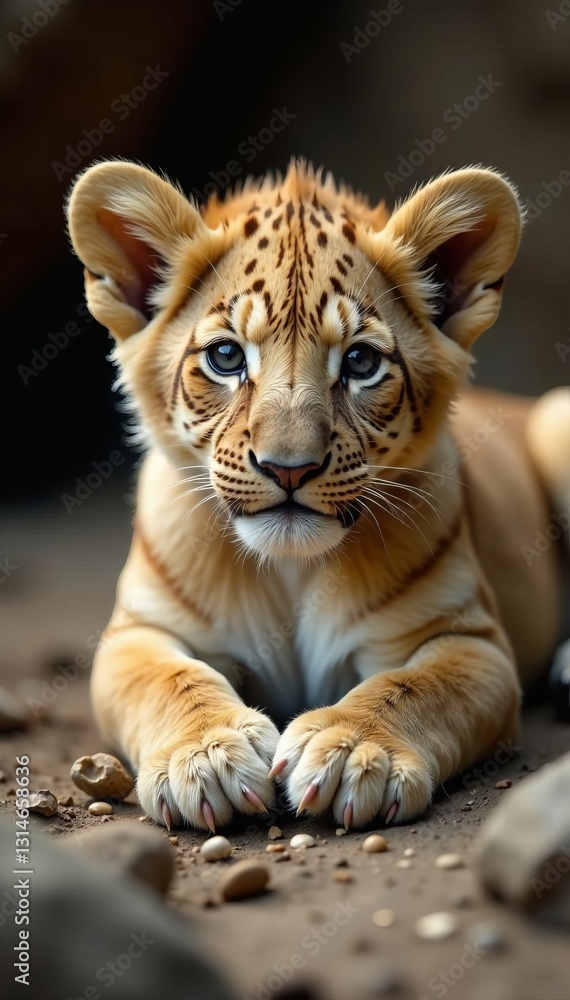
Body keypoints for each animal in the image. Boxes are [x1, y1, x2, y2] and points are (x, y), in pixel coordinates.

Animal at [66, 160, 569, 831]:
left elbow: (414, 687)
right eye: (225, 356)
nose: (288, 469)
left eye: (359, 362)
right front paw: (206, 756)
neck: (289, 569)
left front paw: (356, 749)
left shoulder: (473, 642)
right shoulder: (137, 632)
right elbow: (169, 681)